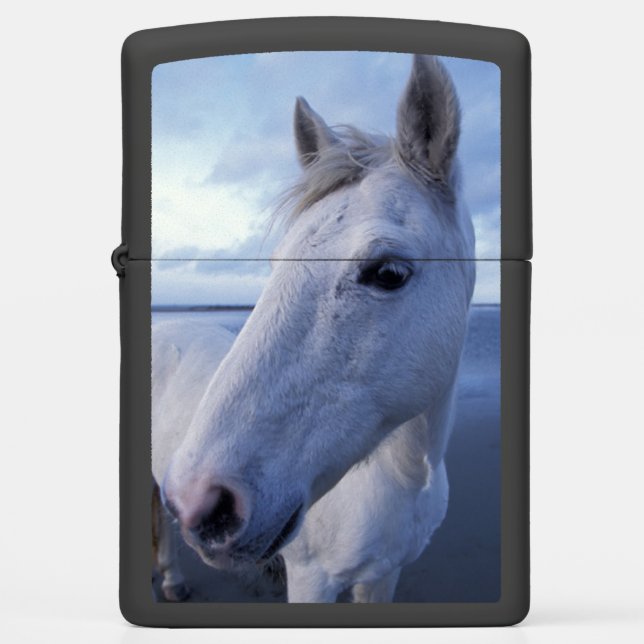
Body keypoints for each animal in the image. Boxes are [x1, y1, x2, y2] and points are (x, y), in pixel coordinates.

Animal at [151, 54, 475, 603]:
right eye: (277, 262)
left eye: (389, 273)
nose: (200, 501)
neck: (404, 475)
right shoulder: (310, 579)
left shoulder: (383, 576)